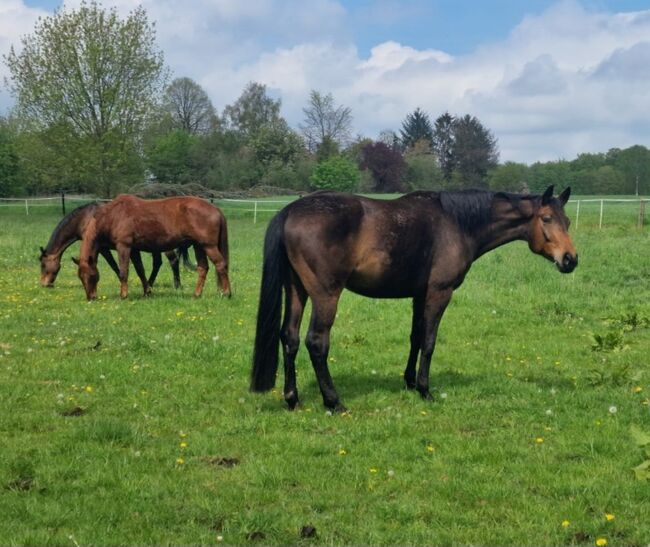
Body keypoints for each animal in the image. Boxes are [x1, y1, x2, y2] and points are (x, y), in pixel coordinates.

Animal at [39, 203, 191, 288]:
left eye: (43, 265)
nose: (44, 284)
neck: (86, 218)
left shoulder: (103, 248)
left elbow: (114, 265)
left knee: (173, 260)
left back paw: (177, 285)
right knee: (157, 263)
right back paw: (150, 283)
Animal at [76, 196, 230, 300]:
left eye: (91, 276)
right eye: (80, 277)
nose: (91, 297)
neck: (114, 215)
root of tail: (216, 209)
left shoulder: (124, 246)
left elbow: (124, 271)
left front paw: (123, 295)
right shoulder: (134, 250)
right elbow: (140, 270)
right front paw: (147, 292)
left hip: (209, 246)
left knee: (220, 265)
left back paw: (227, 293)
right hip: (199, 246)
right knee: (203, 268)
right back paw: (196, 294)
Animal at [251, 184, 576, 412]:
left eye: (568, 221)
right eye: (547, 218)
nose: (570, 259)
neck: (457, 224)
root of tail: (290, 211)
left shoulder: (419, 295)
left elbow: (416, 337)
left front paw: (408, 382)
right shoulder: (439, 293)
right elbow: (429, 342)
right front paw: (424, 389)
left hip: (296, 290)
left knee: (289, 338)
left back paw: (292, 399)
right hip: (326, 294)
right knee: (316, 342)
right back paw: (334, 401)